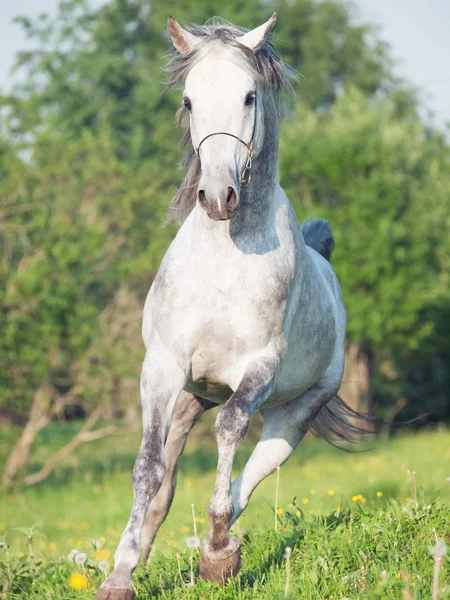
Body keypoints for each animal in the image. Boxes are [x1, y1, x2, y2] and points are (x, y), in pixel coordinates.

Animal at [96, 14, 358, 600]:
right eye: (189, 100)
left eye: (248, 96)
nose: (218, 197)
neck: (224, 258)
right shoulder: (162, 366)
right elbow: (148, 469)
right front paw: (119, 576)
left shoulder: (258, 369)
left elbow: (231, 432)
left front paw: (218, 556)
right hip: (192, 396)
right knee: (168, 479)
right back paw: (145, 554)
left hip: (295, 411)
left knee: (253, 471)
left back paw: (220, 552)